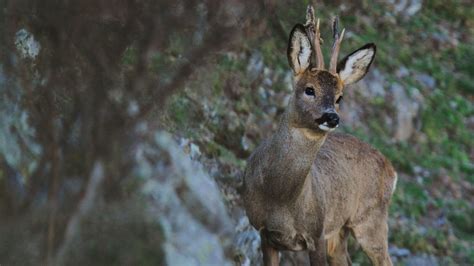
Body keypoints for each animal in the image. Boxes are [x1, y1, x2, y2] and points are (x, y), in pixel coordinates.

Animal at [243, 4, 398, 266]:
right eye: (309, 89)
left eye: (339, 98)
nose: (332, 117)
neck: (280, 199)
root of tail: (392, 170)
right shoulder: (264, 232)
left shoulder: (317, 233)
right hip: (341, 231)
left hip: (371, 220)